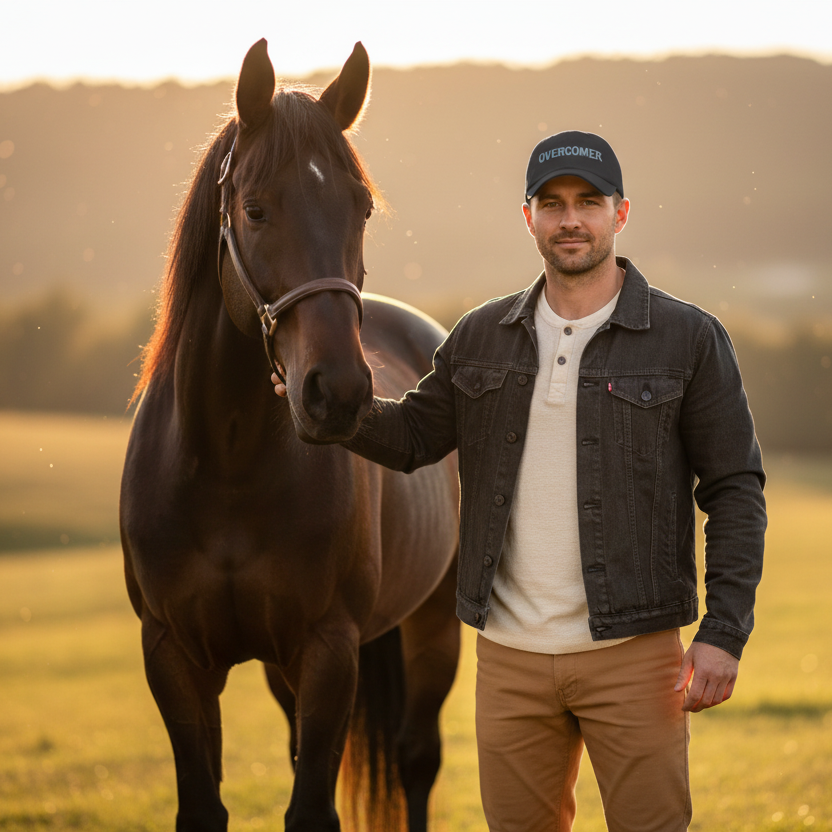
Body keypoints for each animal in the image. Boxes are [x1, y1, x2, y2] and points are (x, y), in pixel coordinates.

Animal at [119, 39, 461, 832]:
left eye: (361, 206)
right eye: (254, 209)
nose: (338, 393)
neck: (225, 463)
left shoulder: (329, 650)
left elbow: (312, 807)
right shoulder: (173, 657)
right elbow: (204, 803)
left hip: (435, 624)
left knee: (416, 757)